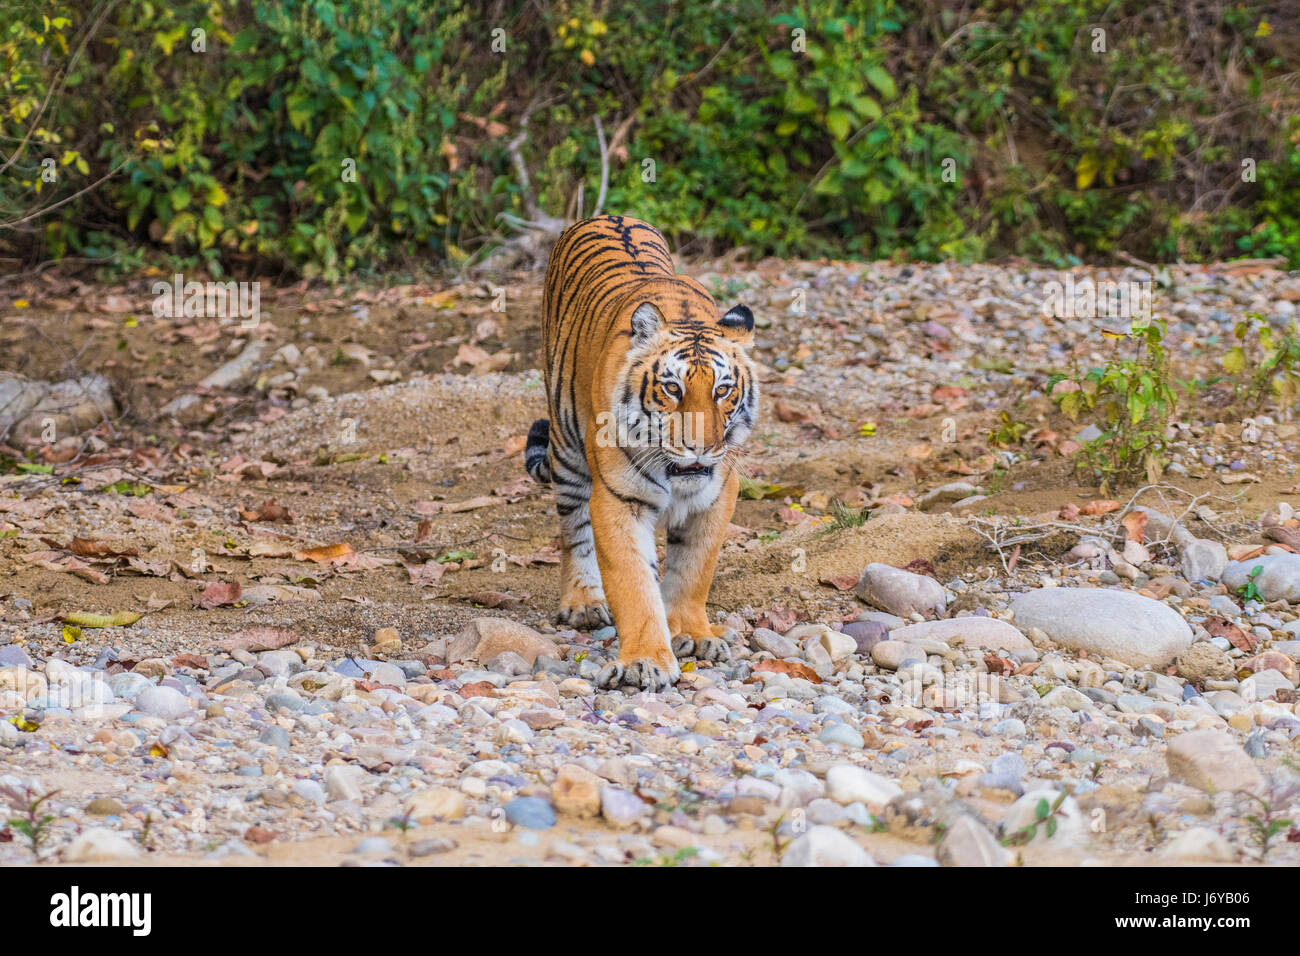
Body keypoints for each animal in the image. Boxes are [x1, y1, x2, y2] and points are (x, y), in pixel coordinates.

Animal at [522, 214, 759, 691]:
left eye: (723, 391)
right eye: (672, 389)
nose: (701, 447)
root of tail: (604, 215)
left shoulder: (717, 497)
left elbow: (693, 570)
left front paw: (692, 634)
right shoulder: (618, 499)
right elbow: (633, 582)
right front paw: (643, 662)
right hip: (567, 447)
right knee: (573, 531)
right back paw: (583, 602)